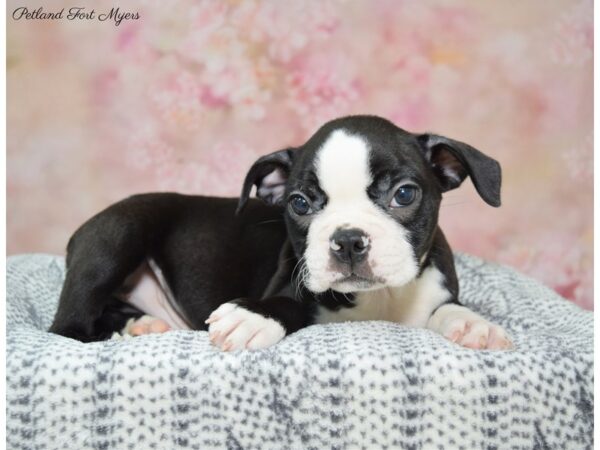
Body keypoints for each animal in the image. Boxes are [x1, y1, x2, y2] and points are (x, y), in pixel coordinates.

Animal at [49, 115, 512, 352]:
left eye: (404, 194)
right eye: (300, 204)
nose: (348, 240)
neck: (378, 301)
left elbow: (446, 308)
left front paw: (473, 323)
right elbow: (288, 306)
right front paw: (253, 317)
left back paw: (143, 325)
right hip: (115, 237)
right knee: (67, 327)